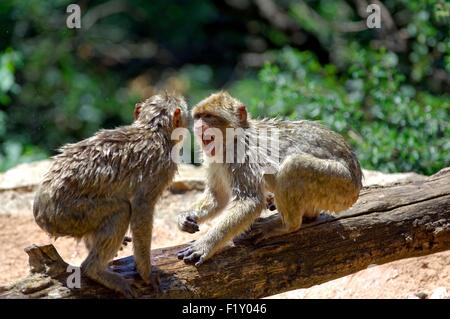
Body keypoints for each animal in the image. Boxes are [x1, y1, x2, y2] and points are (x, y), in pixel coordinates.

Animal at [33, 94, 187, 298]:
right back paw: (94, 270)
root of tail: (39, 211)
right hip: (67, 214)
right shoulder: (162, 168)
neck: (154, 130)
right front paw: (146, 273)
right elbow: (141, 209)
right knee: (122, 210)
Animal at [178, 92, 364, 268]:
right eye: (198, 116)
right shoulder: (215, 160)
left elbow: (250, 201)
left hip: (341, 185)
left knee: (293, 166)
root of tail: (357, 180)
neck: (234, 138)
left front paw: (205, 245)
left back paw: (288, 225)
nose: (199, 126)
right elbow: (218, 197)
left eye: (209, 116)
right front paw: (186, 217)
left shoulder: (242, 155)